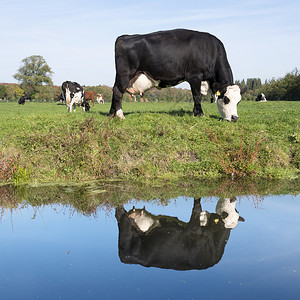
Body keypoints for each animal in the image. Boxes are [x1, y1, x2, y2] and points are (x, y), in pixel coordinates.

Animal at [109, 28, 241, 122]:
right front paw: (200, 114)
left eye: (239, 101)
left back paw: (111, 114)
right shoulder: (194, 76)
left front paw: (196, 113)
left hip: (120, 75)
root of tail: (124, 37)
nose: (234, 118)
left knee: (114, 89)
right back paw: (120, 115)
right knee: (118, 91)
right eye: (226, 99)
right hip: (125, 73)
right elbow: (197, 96)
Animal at [115, 198, 244, 270]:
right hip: (126, 232)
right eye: (225, 214)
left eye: (236, 210)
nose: (233, 197)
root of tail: (123, 258)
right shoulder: (193, 228)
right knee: (120, 214)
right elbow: (196, 206)